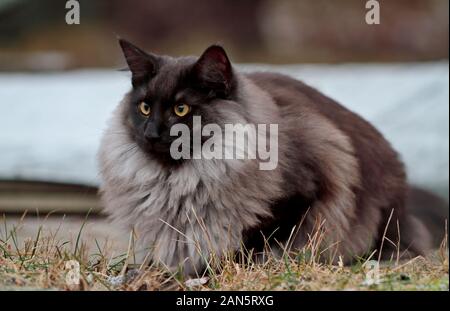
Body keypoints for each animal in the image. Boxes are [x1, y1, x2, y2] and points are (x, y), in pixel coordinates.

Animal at [97, 39, 446, 278]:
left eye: (181, 109)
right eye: (144, 107)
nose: (151, 133)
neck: (181, 179)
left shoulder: (309, 185)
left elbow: (253, 242)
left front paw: (213, 270)